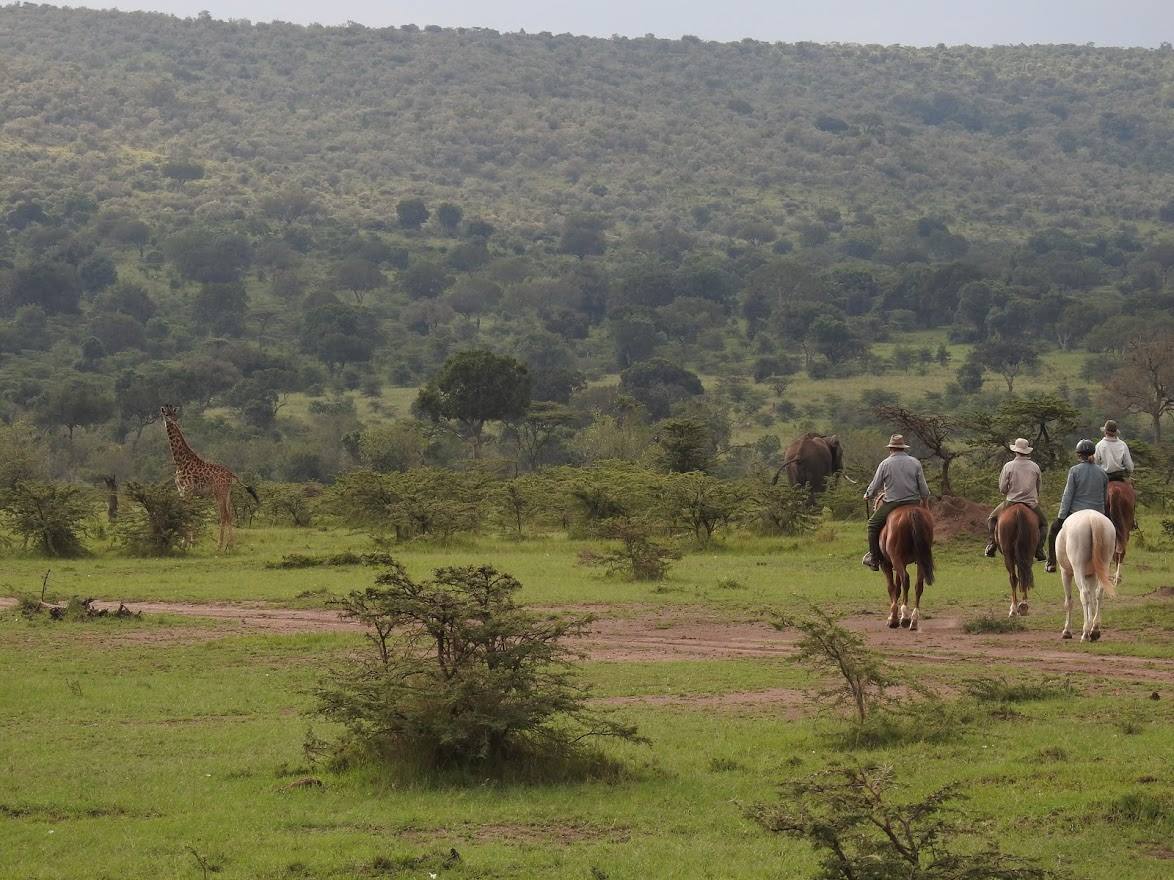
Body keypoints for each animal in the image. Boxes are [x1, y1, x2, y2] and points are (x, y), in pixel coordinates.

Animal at [1056, 509, 1117, 642]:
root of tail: (1092, 518)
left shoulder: (1065, 573)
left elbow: (1069, 602)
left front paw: (1067, 631)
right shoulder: (1091, 575)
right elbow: (1092, 598)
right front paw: (1091, 627)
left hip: (1077, 570)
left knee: (1084, 594)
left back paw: (1085, 632)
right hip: (1104, 565)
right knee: (1099, 593)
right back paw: (1094, 630)